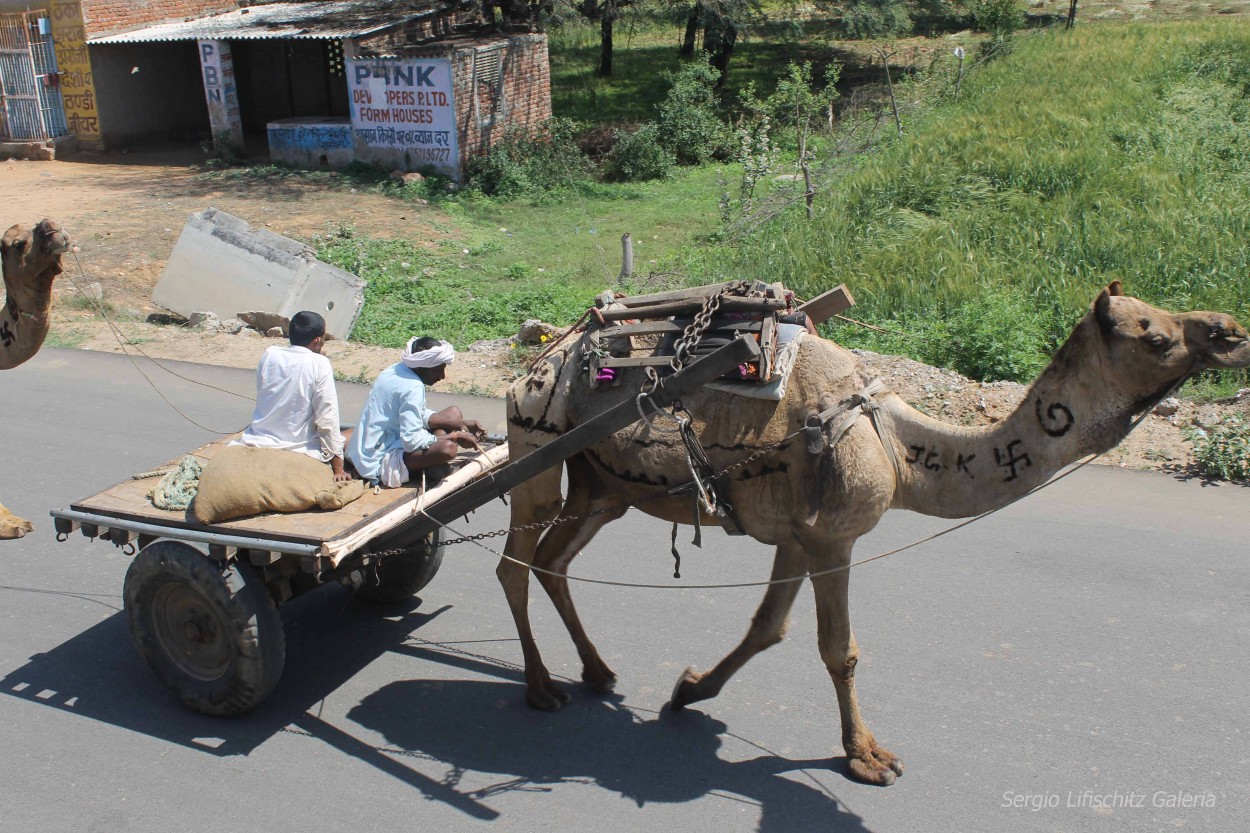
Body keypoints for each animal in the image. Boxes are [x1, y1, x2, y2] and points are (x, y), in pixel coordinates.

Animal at [500, 282, 1250, 780]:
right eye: (1155, 333)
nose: (1231, 329)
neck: (899, 447)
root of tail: (534, 366)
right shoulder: (833, 537)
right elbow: (840, 649)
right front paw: (866, 755)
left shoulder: (798, 536)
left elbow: (767, 628)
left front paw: (688, 691)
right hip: (537, 443)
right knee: (515, 562)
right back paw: (540, 688)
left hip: (602, 485)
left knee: (555, 560)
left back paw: (598, 671)